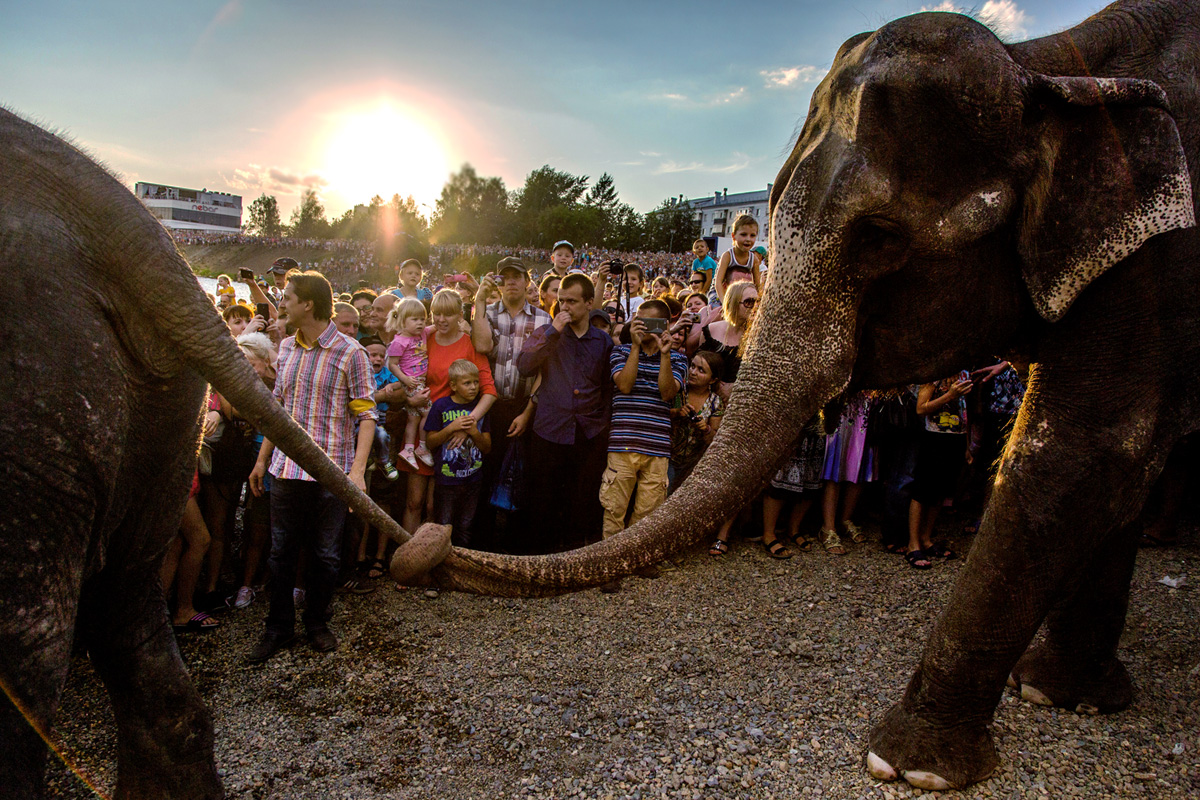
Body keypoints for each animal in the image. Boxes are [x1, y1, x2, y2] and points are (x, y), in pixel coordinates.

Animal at [386, 0, 1200, 791]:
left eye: (881, 237)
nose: (425, 548)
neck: (1049, 64)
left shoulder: (1154, 265)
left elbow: (1093, 455)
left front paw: (920, 759)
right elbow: (1108, 457)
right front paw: (1050, 699)